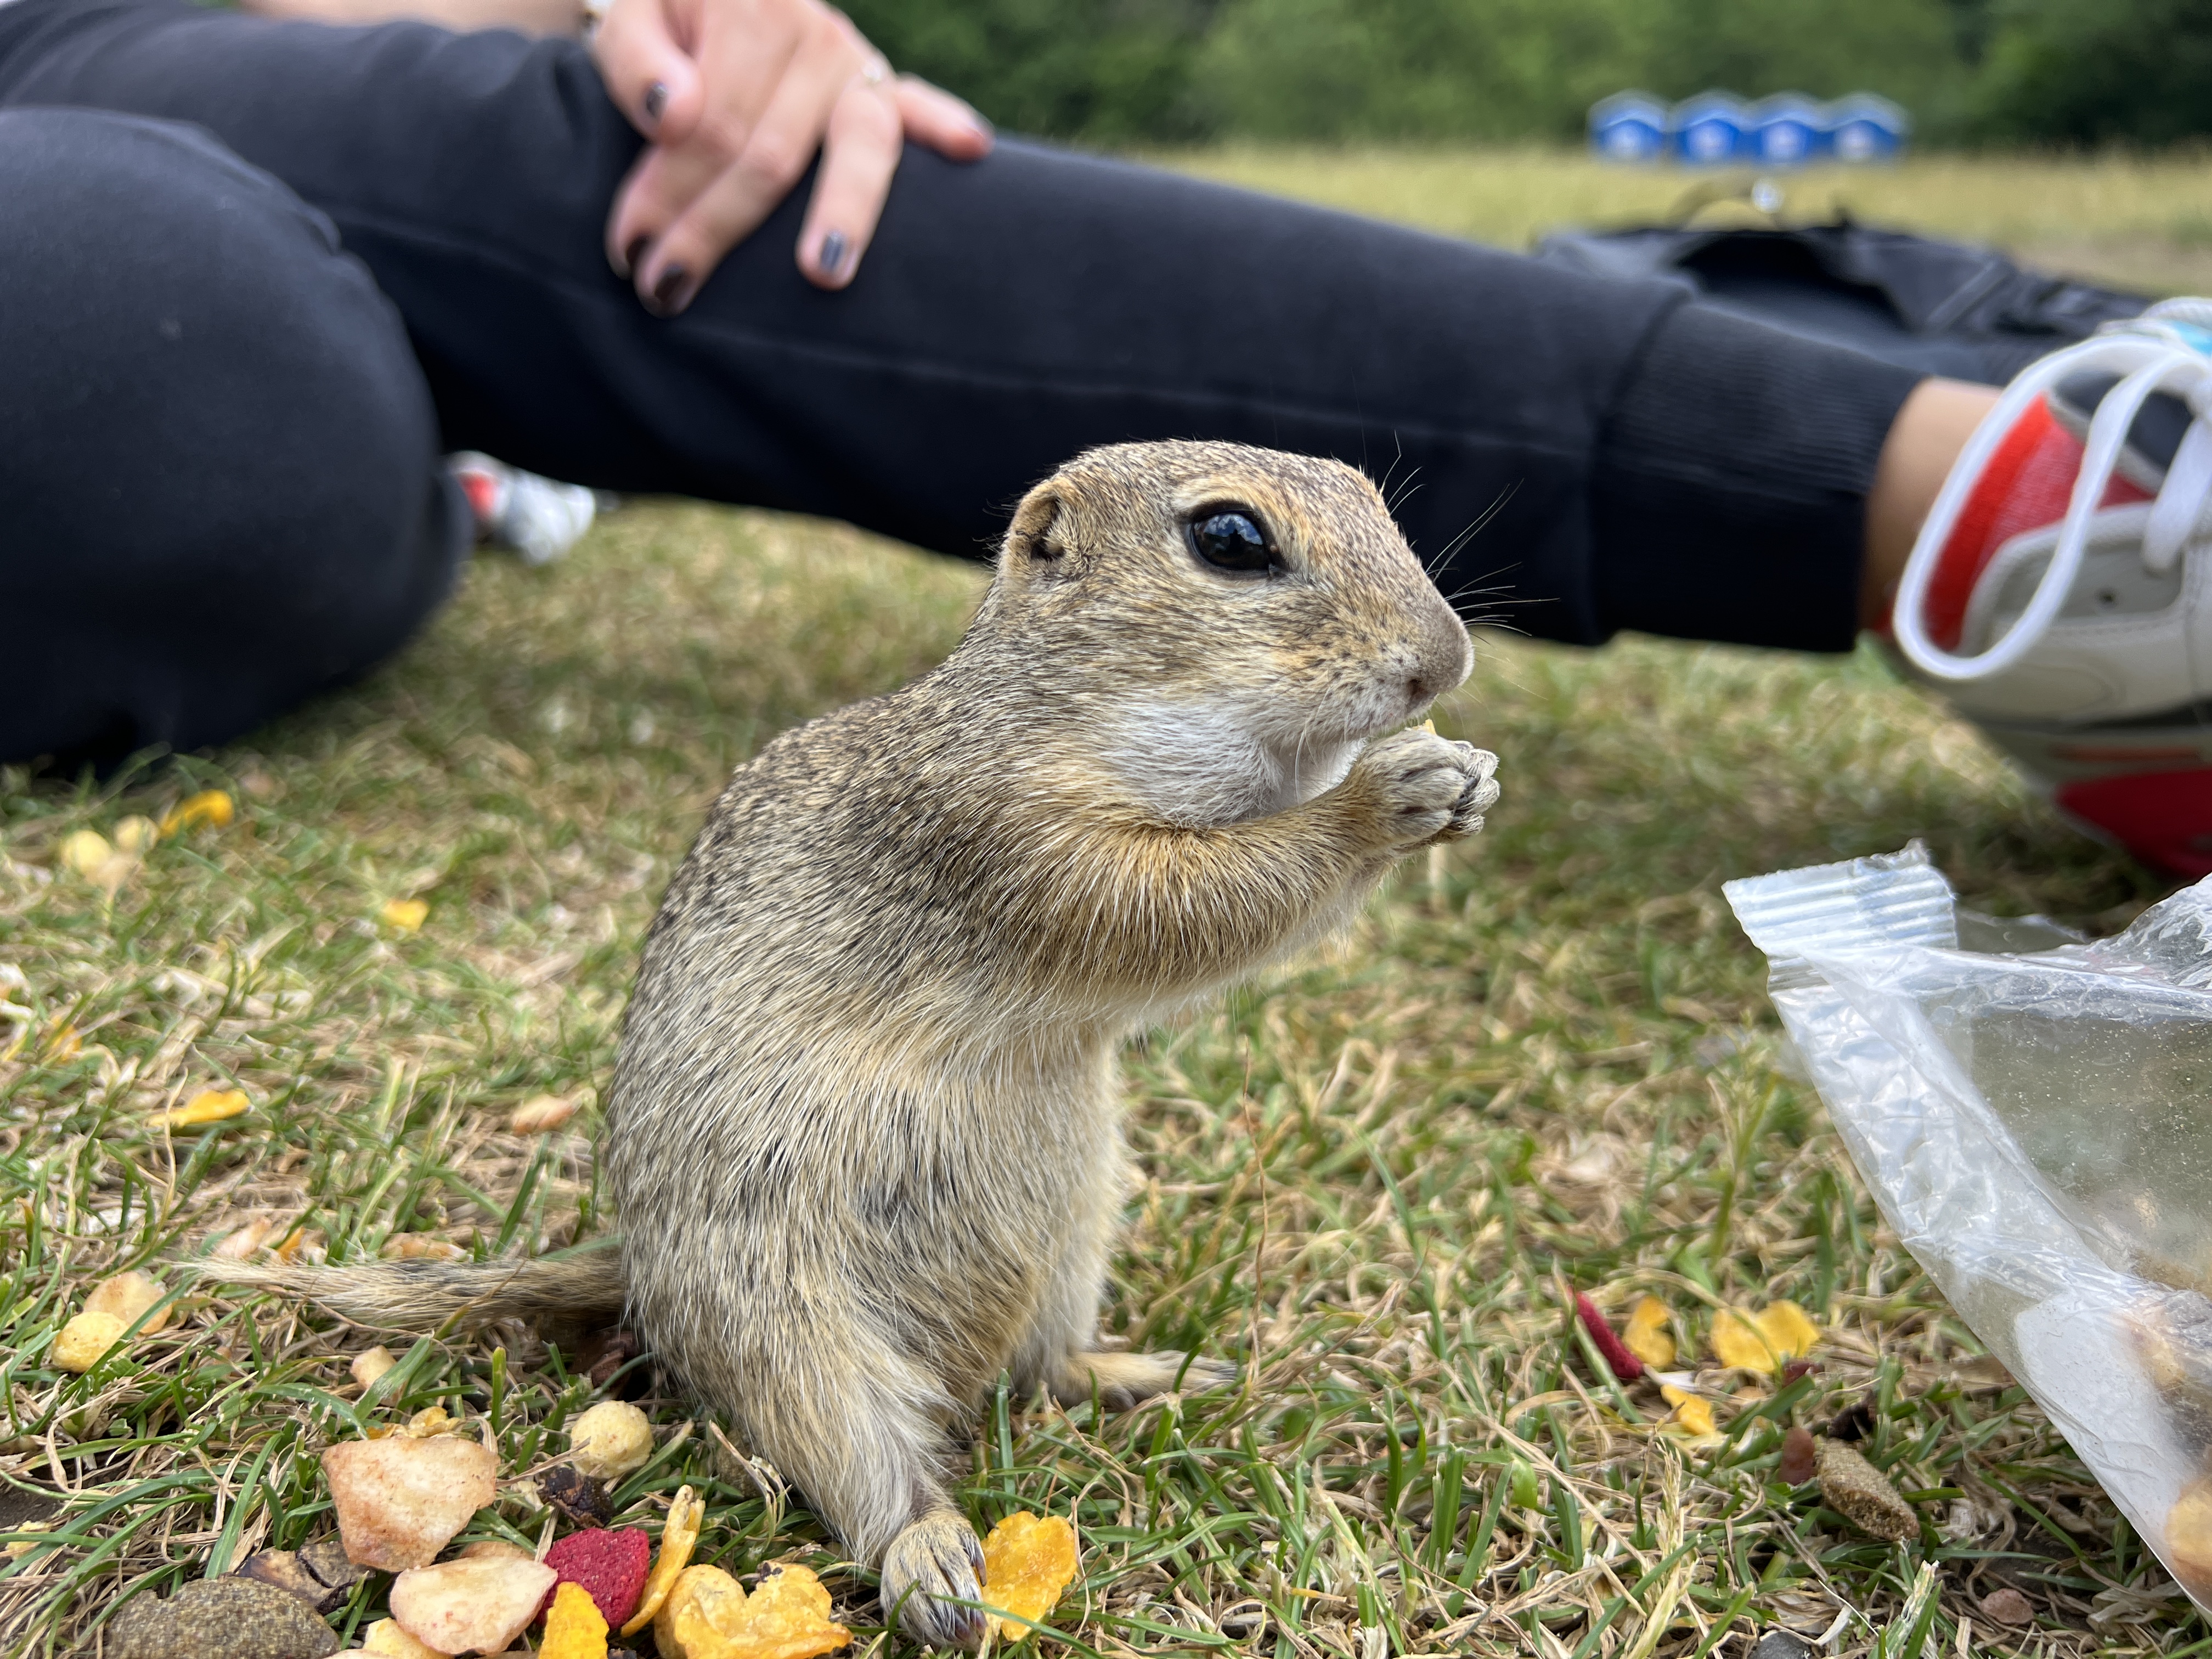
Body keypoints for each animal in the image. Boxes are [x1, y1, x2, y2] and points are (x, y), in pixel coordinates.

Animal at [221, 440, 1499, 1648]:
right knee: (865, 1463)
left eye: (1369, 496)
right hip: (790, 1333)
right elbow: (1190, 902)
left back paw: (1121, 1374)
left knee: (1038, 1366)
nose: (1445, 662)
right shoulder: (1004, 835)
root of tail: (637, 1268)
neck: (1069, 715)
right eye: (1229, 538)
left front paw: (1465, 777)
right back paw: (929, 1559)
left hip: (1076, 1228)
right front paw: (1385, 795)